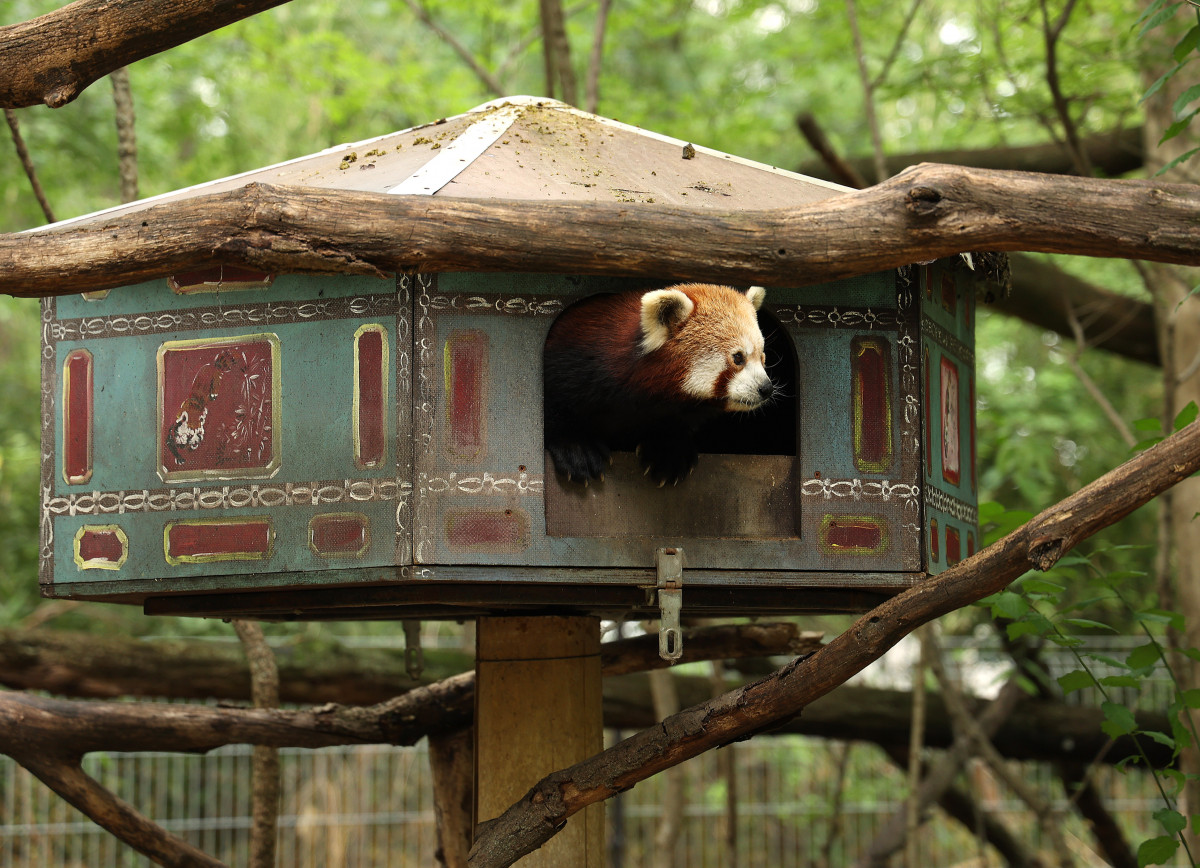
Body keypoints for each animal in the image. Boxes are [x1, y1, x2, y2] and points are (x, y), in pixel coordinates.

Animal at [543, 283, 776, 486]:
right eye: (738, 358)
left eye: (762, 357)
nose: (766, 388)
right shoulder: (572, 361)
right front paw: (576, 446)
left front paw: (668, 451)